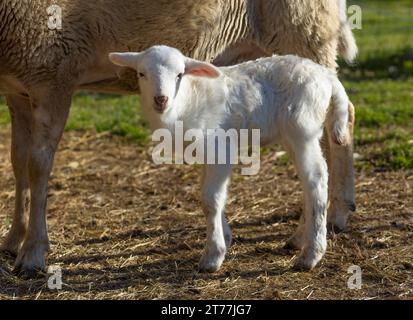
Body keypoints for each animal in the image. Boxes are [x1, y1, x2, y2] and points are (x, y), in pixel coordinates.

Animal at [108, 45, 348, 272]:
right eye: (141, 73)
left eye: (179, 74)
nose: (161, 99)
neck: (187, 99)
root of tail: (327, 76)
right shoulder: (206, 153)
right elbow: (208, 194)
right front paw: (225, 235)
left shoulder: (220, 148)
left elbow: (210, 199)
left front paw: (213, 255)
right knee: (309, 182)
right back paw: (298, 239)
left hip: (302, 128)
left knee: (316, 178)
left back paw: (311, 254)